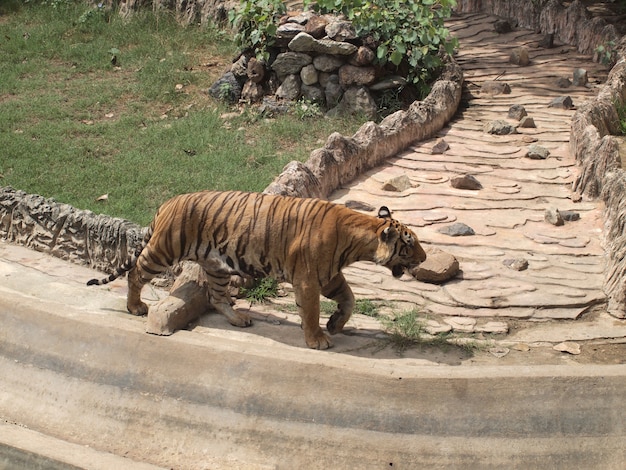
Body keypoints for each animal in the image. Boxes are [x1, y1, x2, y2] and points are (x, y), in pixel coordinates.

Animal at [88, 191, 426, 348]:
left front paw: (335, 324)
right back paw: (135, 307)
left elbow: (350, 300)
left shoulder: (329, 276)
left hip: (216, 265)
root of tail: (167, 203)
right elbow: (312, 311)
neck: (359, 238)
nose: (423, 258)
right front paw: (318, 338)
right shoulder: (308, 279)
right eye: (409, 245)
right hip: (163, 250)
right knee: (135, 273)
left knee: (217, 297)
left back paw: (239, 319)